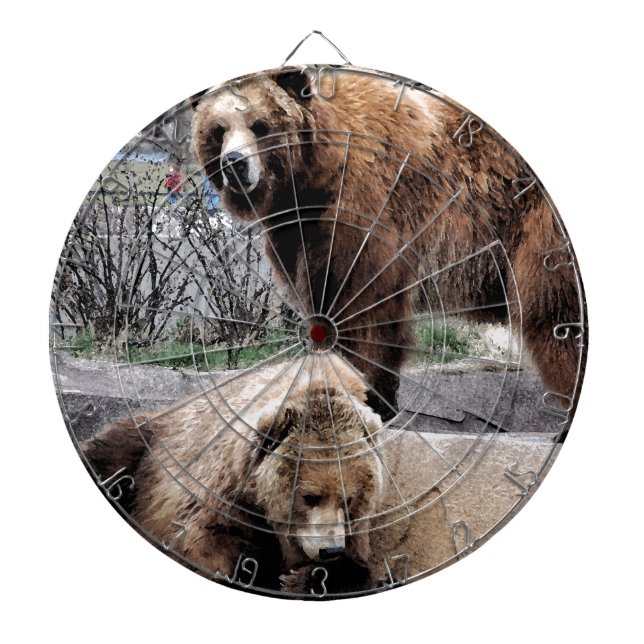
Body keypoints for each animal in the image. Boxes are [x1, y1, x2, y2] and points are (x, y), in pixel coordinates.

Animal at [82, 354, 456, 595]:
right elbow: (203, 539)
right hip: (148, 439)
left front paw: (306, 577)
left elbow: (361, 566)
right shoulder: (221, 490)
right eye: (309, 497)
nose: (329, 550)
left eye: (349, 499)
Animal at [190, 68, 585, 422]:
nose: (234, 164)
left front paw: (368, 396)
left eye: (260, 126)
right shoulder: (302, 233)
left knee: (553, 314)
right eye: (218, 130)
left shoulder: (365, 208)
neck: (312, 180)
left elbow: (364, 310)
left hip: (538, 233)